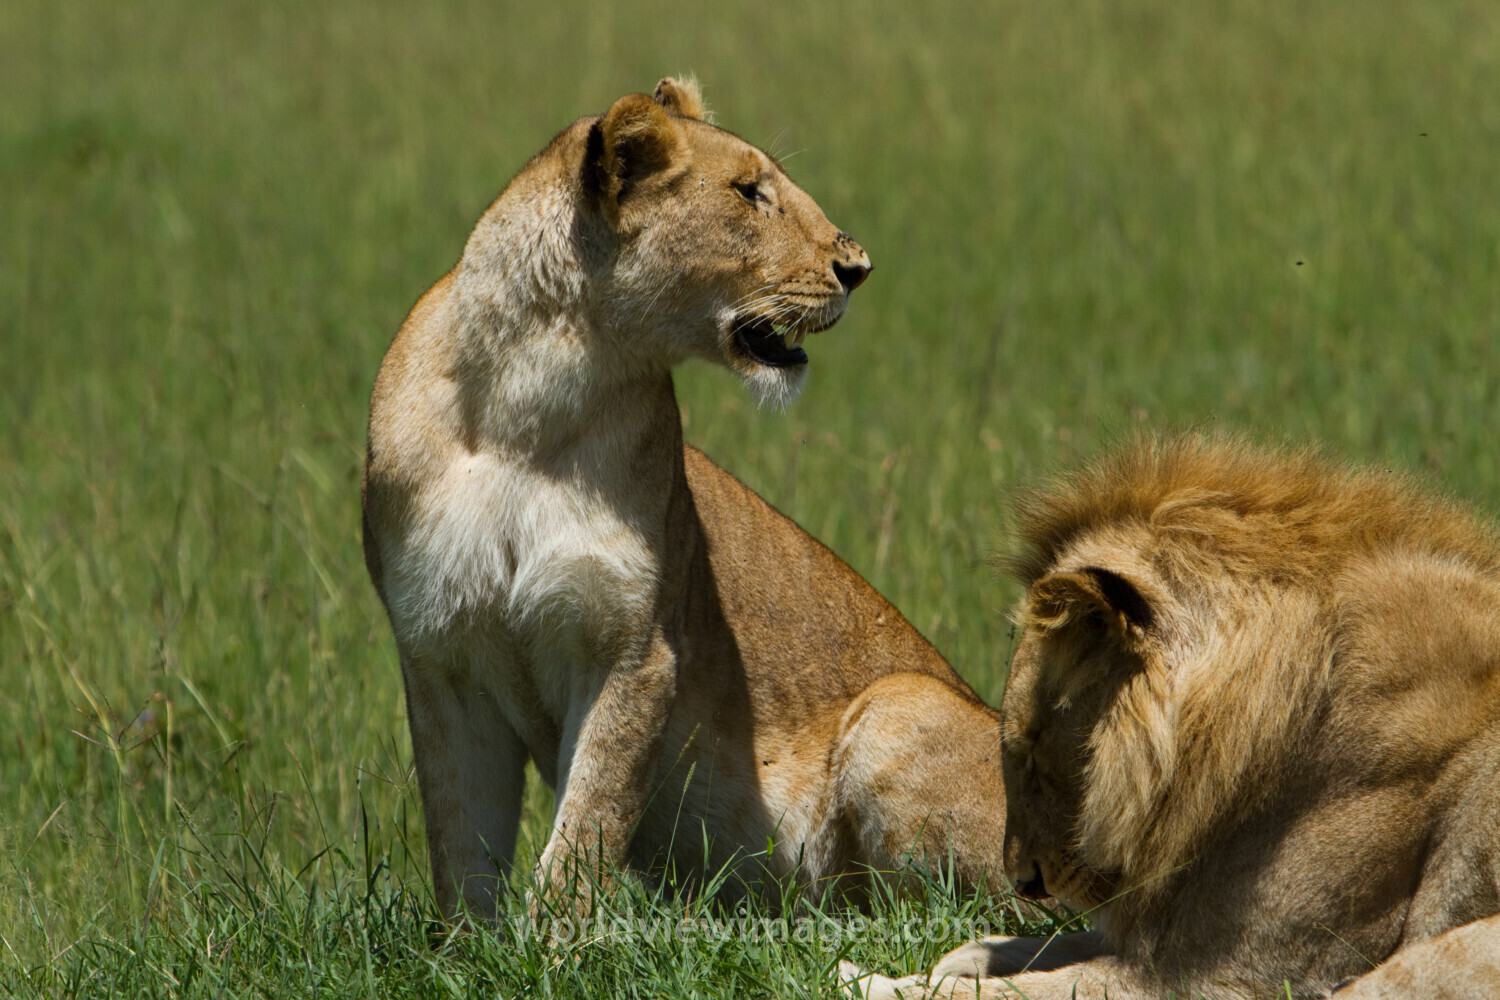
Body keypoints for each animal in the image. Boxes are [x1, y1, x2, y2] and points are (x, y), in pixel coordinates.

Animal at [361, 78, 1008, 919]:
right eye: (748, 192)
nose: (859, 267)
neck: (530, 398)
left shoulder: (635, 647)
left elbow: (584, 829)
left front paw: (551, 942)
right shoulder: (441, 651)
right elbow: (461, 847)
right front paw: (474, 947)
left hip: (900, 702)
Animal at [841, 434, 1500, 998]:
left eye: (1028, 746)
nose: (1024, 882)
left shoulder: (1234, 976)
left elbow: (1023, 989)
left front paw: (869, 981)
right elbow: (1055, 946)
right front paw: (970, 954)